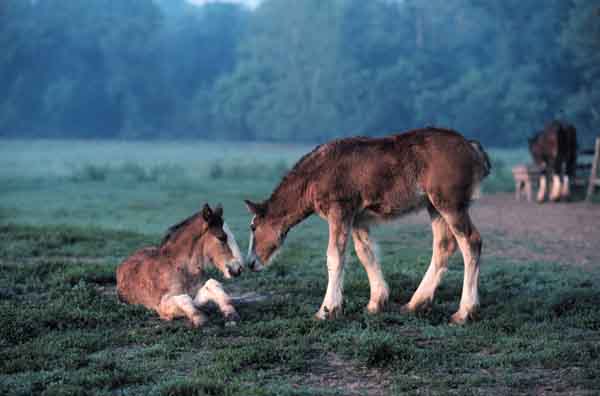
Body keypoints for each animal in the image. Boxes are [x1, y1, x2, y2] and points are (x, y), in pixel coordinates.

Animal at [245, 127, 492, 324]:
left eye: (253, 227)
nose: (250, 263)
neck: (316, 174)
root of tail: (471, 147)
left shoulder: (340, 210)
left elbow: (334, 257)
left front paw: (327, 310)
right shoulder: (357, 218)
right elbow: (365, 253)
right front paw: (376, 303)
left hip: (449, 204)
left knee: (471, 242)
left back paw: (464, 312)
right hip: (434, 206)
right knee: (444, 245)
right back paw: (415, 304)